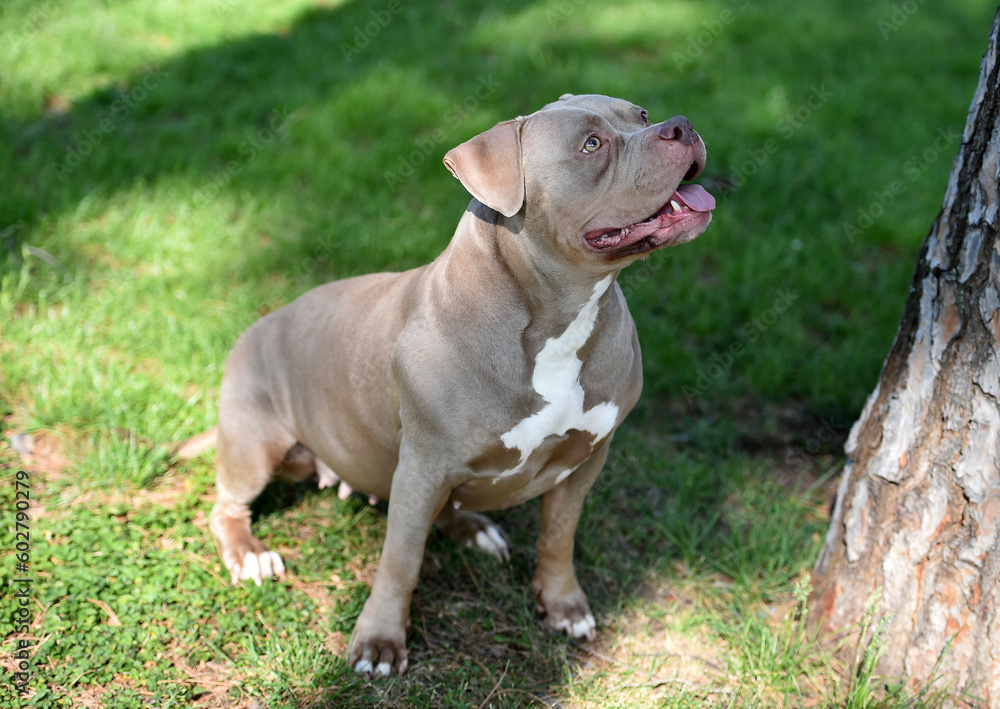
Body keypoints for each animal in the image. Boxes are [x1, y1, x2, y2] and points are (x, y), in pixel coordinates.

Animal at [207, 92, 716, 676]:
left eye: (641, 115)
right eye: (591, 144)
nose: (681, 125)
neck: (556, 319)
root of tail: (257, 326)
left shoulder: (587, 457)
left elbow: (559, 536)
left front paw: (563, 605)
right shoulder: (423, 467)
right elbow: (401, 560)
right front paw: (380, 641)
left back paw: (473, 527)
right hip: (254, 443)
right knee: (226, 508)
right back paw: (250, 555)